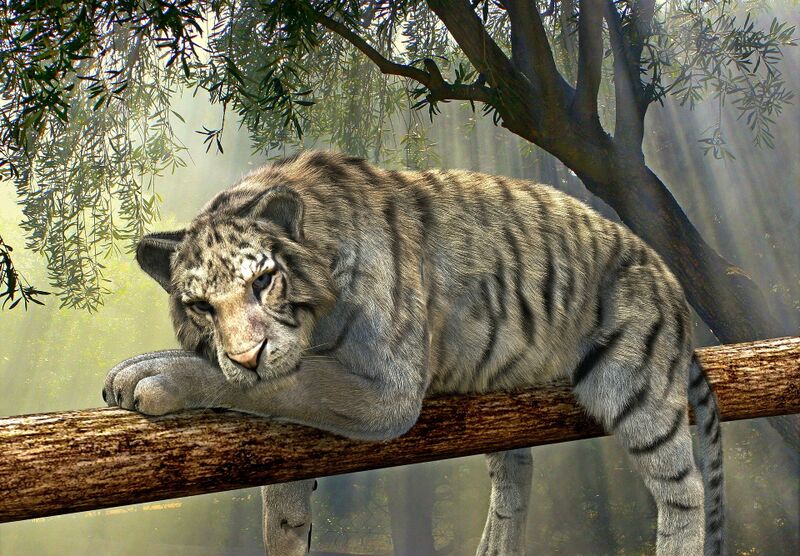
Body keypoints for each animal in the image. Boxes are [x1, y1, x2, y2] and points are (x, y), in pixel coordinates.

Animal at [103, 150, 725, 555]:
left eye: (263, 282)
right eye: (201, 306)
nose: (247, 355)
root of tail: (667, 275)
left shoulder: (387, 393)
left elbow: (288, 384)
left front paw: (151, 375)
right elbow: (282, 491)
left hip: (635, 388)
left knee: (684, 492)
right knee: (515, 471)